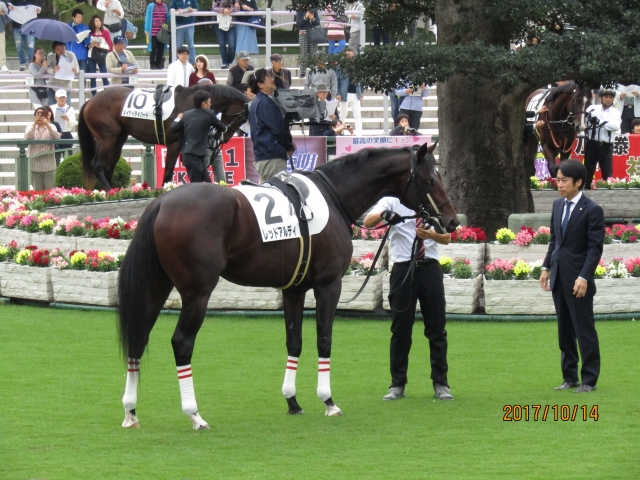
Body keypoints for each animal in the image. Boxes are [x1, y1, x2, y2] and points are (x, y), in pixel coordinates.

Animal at [77, 84, 249, 190]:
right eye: (242, 118)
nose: (223, 137)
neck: (190, 103)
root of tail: (89, 102)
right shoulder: (174, 143)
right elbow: (168, 172)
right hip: (107, 139)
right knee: (97, 165)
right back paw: (109, 191)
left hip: (119, 139)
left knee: (108, 167)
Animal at [117, 142, 459, 430]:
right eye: (429, 180)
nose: (452, 221)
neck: (333, 195)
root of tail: (161, 202)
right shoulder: (328, 285)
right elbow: (324, 340)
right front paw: (328, 401)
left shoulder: (293, 289)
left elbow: (294, 342)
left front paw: (292, 401)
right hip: (197, 294)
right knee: (182, 343)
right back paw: (195, 414)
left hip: (155, 288)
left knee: (138, 338)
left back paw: (131, 411)